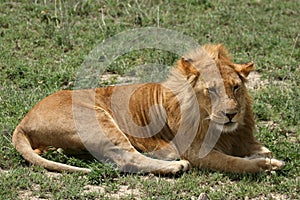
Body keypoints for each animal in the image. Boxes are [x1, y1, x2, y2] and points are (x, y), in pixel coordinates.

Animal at [11, 44, 284, 174]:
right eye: (212, 90)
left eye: (236, 88)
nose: (231, 114)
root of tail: (24, 121)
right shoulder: (196, 151)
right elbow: (232, 163)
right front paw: (264, 165)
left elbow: (260, 150)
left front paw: (264, 157)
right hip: (98, 119)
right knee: (126, 158)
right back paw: (174, 165)